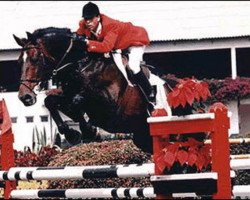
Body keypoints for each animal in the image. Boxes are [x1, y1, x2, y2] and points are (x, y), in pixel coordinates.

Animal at [13, 27, 195, 153]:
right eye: (19, 61)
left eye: (35, 59)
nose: (25, 97)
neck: (82, 65)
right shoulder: (67, 94)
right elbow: (51, 101)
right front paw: (73, 133)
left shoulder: (109, 106)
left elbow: (78, 102)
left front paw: (89, 131)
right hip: (143, 138)